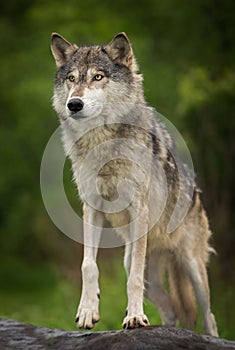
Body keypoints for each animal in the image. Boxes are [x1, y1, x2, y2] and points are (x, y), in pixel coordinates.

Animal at [50, 32, 218, 336]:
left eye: (98, 77)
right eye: (71, 78)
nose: (74, 104)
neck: (103, 143)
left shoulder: (139, 209)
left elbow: (134, 281)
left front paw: (135, 317)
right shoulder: (91, 208)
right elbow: (88, 265)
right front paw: (88, 312)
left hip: (192, 267)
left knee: (208, 317)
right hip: (134, 262)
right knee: (172, 309)